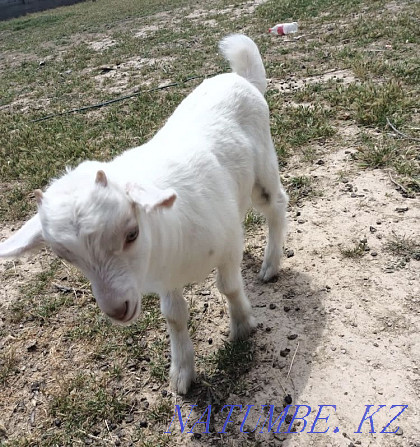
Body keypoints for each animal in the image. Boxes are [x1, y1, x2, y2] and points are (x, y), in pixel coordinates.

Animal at [0, 33, 288, 394]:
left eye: (132, 233)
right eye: (65, 257)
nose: (117, 309)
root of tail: (241, 78)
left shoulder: (226, 246)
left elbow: (229, 287)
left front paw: (242, 325)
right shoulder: (164, 272)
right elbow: (174, 315)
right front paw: (181, 372)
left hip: (263, 169)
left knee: (276, 205)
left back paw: (270, 264)